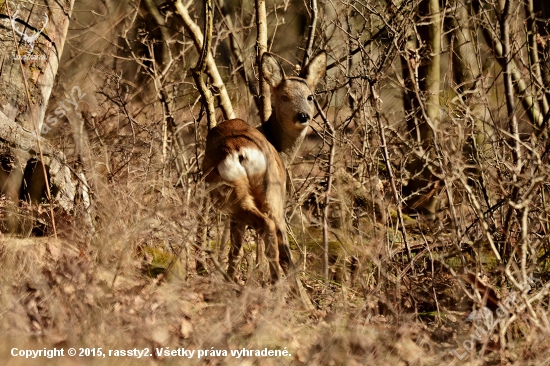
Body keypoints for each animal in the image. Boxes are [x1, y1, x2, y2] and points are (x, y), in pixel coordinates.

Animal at [204, 50, 328, 288]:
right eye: (284, 97)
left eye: (310, 97)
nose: (303, 116)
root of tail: (240, 151)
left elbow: (236, 248)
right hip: (271, 191)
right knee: (277, 237)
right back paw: (283, 287)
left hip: (235, 194)